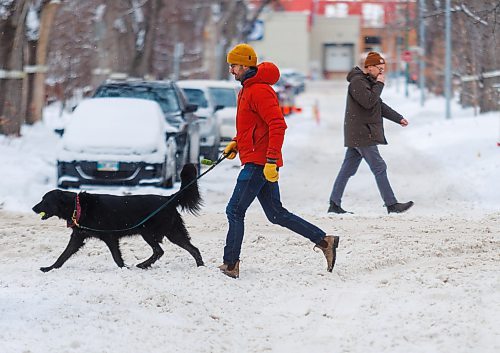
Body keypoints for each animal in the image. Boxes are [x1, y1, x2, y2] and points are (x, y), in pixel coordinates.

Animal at [32, 164, 203, 270]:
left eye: (45, 201)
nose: (33, 208)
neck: (78, 206)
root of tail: (168, 198)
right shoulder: (78, 237)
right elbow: (63, 255)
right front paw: (49, 268)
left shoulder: (110, 237)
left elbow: (116, 257)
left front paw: (124, 268)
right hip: (171, 232)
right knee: (190, 249)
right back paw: (200, 266)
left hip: (150, 232)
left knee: (161, 250)